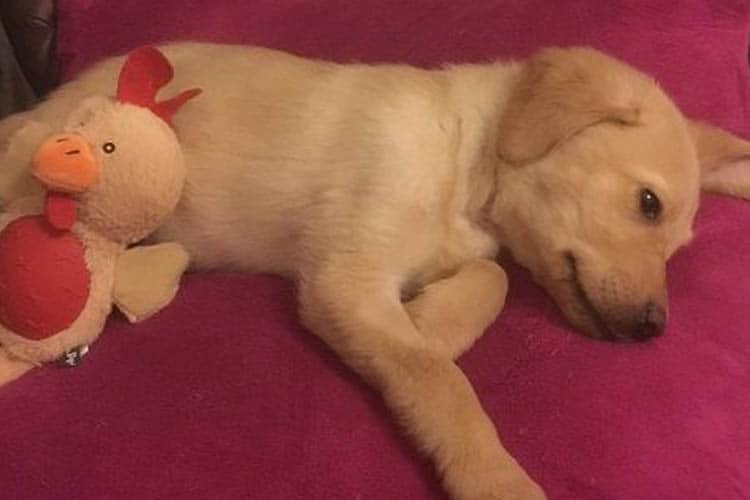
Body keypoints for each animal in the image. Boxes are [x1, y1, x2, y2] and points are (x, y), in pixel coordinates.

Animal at [1, 45, 750, 498]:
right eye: (648, 204)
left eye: (678, 247)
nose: (654, 329)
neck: (464, 164)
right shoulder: (345, 281)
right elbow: (440, 384)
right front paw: (494, 476)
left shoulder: (449, 257)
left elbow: (491, 281)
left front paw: (433, 321)